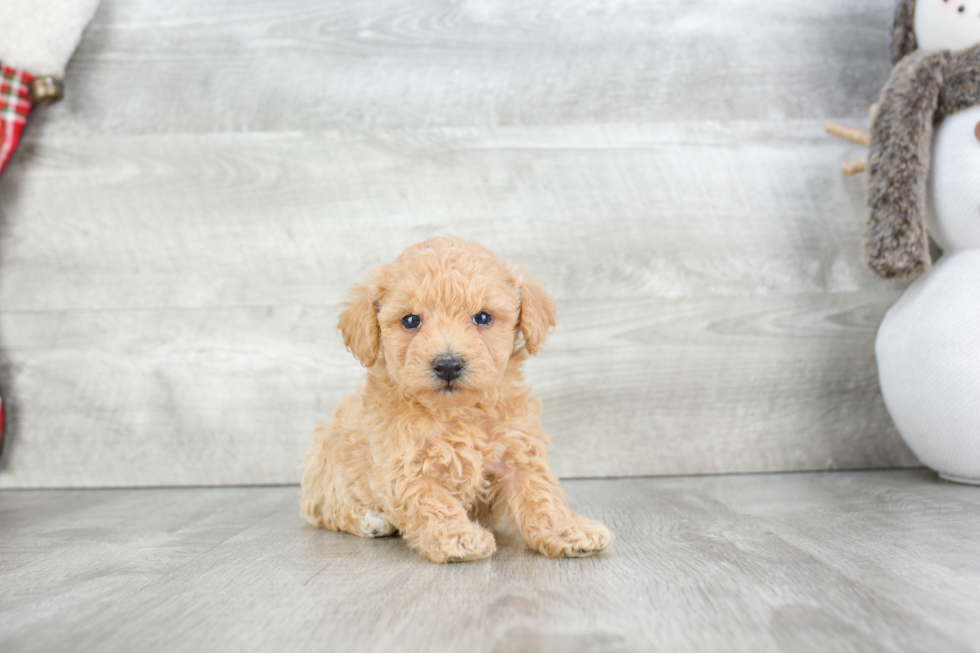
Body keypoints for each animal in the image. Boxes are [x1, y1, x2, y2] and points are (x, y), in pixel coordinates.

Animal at [302, 234, 616, 560]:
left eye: (483, 317)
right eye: (411, 320)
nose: (448, 364)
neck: (458, 412)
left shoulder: (517, 451)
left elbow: (540, 492)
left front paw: (566, 529)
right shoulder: (404, 468)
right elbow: (432, 501)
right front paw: (458, 536)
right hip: (326, 468)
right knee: (328, 508)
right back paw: (370, 521)